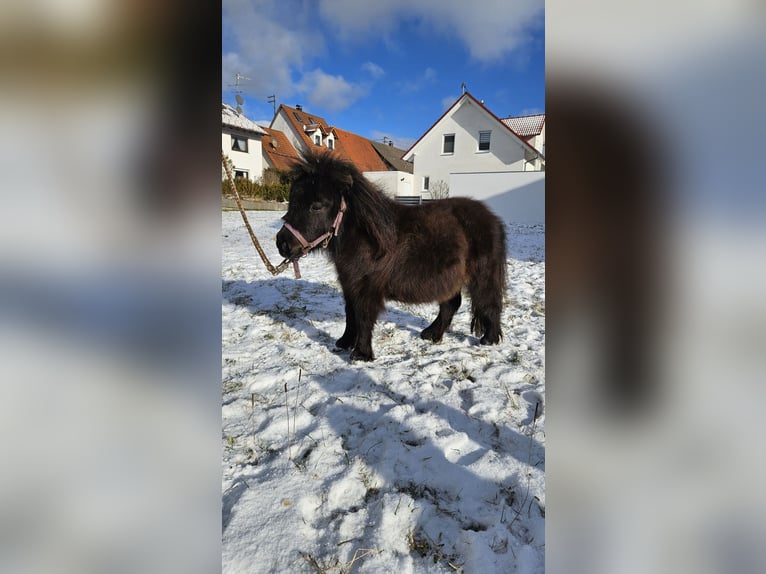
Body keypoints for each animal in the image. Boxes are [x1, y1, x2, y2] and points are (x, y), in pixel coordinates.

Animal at [278, 151, 510, 362]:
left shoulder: (367, 289)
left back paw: (489, 339)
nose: (282, 244)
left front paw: (361, 354)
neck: (367, 238)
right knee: (451, 305)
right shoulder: (350, 285)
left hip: (483, 276)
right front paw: (344, 343)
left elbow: (363, 317)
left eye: (316, 206)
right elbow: (350, 314)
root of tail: (493, 219)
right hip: (450, 278)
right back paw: (431, 334)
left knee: (490, 302)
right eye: (292, 201)